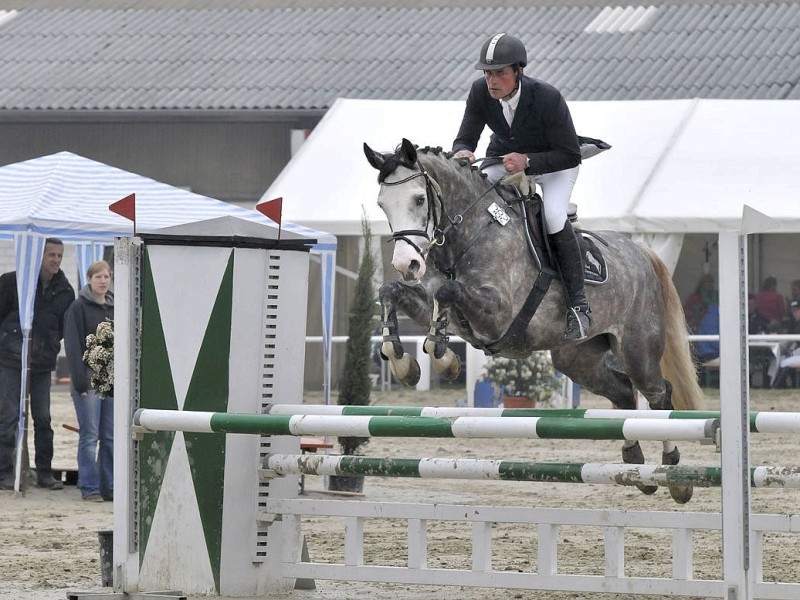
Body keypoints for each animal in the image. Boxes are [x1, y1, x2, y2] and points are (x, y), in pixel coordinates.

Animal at [366, 138, 704, 504]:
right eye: (382, 205)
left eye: (419, 199)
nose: (407, 264)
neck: (470, 235)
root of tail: (641, 252)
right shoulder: (430, 300)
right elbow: (392, 291)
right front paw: (404, 362)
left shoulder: (498, 314)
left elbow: (448, 290)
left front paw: (443, 358)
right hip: (577, 359)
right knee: (624, 392)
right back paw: (635, 465)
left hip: (637, 349)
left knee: (658, 395)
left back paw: (673, 474)